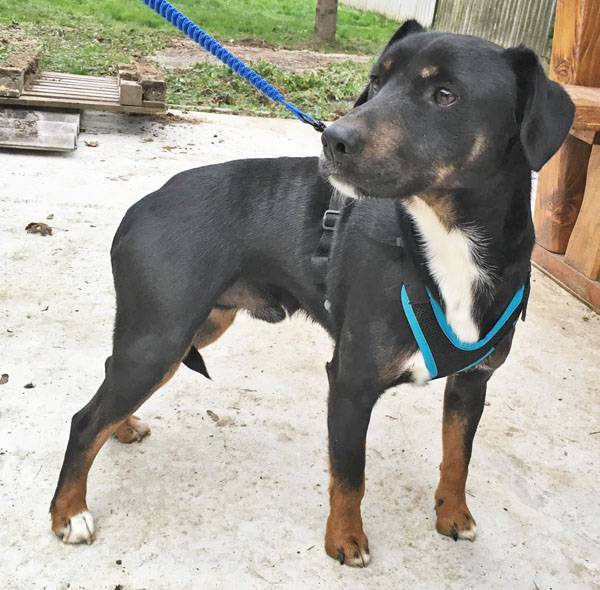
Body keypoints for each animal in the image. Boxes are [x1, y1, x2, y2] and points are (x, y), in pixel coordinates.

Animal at [50, 21, 574, 567]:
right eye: (376, 80)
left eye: (446, 95)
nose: (334, 139)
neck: (447, 240)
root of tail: (140, 207)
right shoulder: (349, 384)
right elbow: (350, 474)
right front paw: (345, 539)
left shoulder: (473, 382)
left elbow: (458, 456)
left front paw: (453, 514)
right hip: (161, 336)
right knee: (84, 421)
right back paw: (69, 512)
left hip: (190, 328)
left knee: (111, 376)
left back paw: (122, 426)